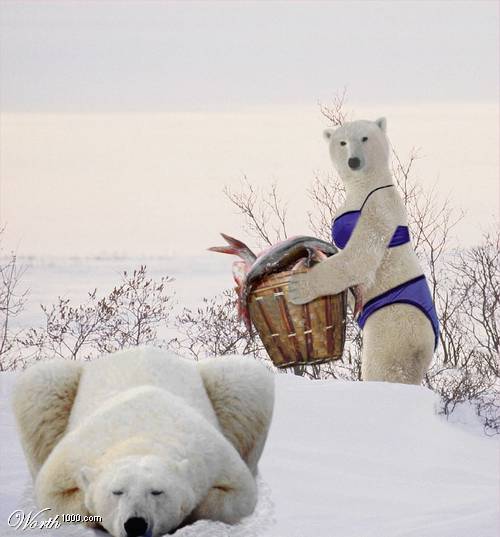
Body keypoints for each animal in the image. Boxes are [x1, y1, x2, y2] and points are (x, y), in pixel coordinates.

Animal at [11, 348, 276, 536]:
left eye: (157, 491)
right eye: (117, 491)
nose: (136, 524)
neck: (141, 436)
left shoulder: (211, 455)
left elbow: (240, 496)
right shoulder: (74, 456)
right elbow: (53, 499)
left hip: (230, 386)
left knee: (245, 378)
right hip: (54, 385)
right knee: (41, 385)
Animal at [290, 118, 438, 386]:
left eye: (365, 138)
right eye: (342, 142)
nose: (354, 161)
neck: (367, 184)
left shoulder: (377, 206)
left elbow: (359, 256)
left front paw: (299, 286)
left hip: (394, 324)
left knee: (384, 366)